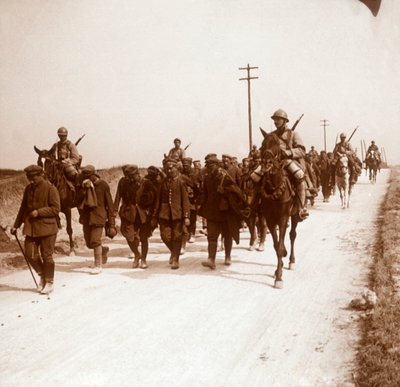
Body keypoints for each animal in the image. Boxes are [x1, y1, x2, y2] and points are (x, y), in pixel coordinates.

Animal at [260, 132, 300, 290]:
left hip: (294, 215)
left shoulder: (283, 218)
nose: (266, 163)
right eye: (263, 144)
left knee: (293, 235)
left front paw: (278, 279)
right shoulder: (270, 219)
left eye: (277, 145)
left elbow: (281, 244)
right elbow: (277, 246)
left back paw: (292, 260)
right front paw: (278, 270)